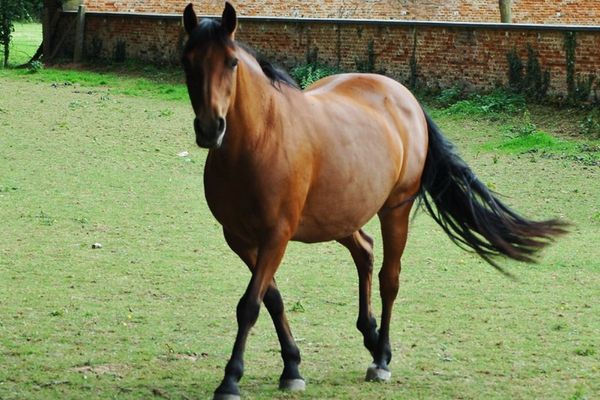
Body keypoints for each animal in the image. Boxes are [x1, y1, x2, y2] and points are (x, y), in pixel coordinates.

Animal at [178, 3, 568, 400]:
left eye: (231, 62)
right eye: (188, 60)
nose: (210, 128)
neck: (259, 140)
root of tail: (404, 97)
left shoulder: (276, 236)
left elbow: (250, 305)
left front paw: (231, 379)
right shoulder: (240, 239)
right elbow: (271, 299)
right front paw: (292, 365)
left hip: (394, 209)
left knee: (389, 279)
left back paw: (381, 358)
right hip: (340, 215)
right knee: (364, 251)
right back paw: (372, 335)